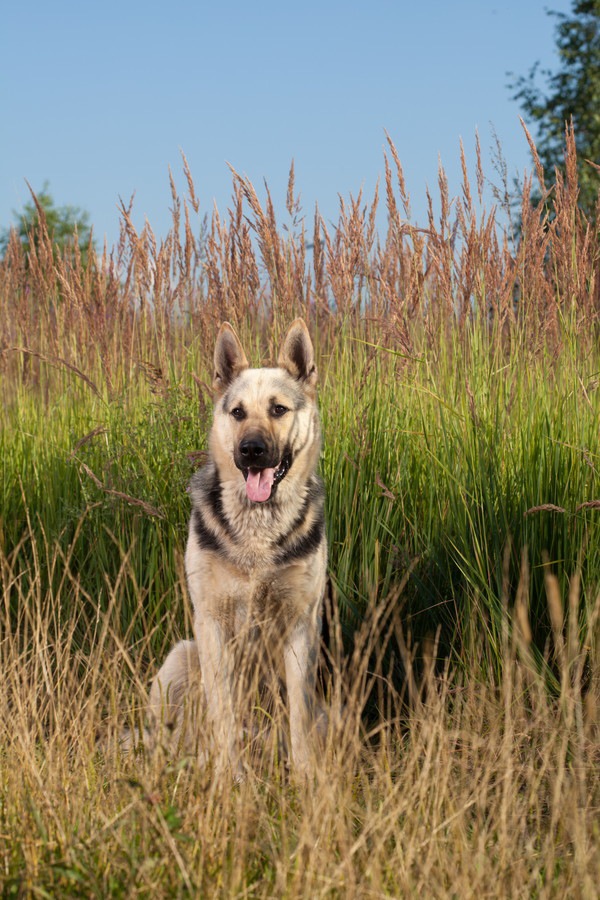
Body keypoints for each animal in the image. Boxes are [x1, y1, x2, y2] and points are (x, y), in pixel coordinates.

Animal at [149, 320, 328, 776]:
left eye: (278, 410)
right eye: (238, 413)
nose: (251, 451)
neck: (258, 527)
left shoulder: (301, 626)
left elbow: (298, 714)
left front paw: (304, 775)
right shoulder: (211, 623)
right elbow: (222, 710)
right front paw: (229, 776)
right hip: (181, 656)